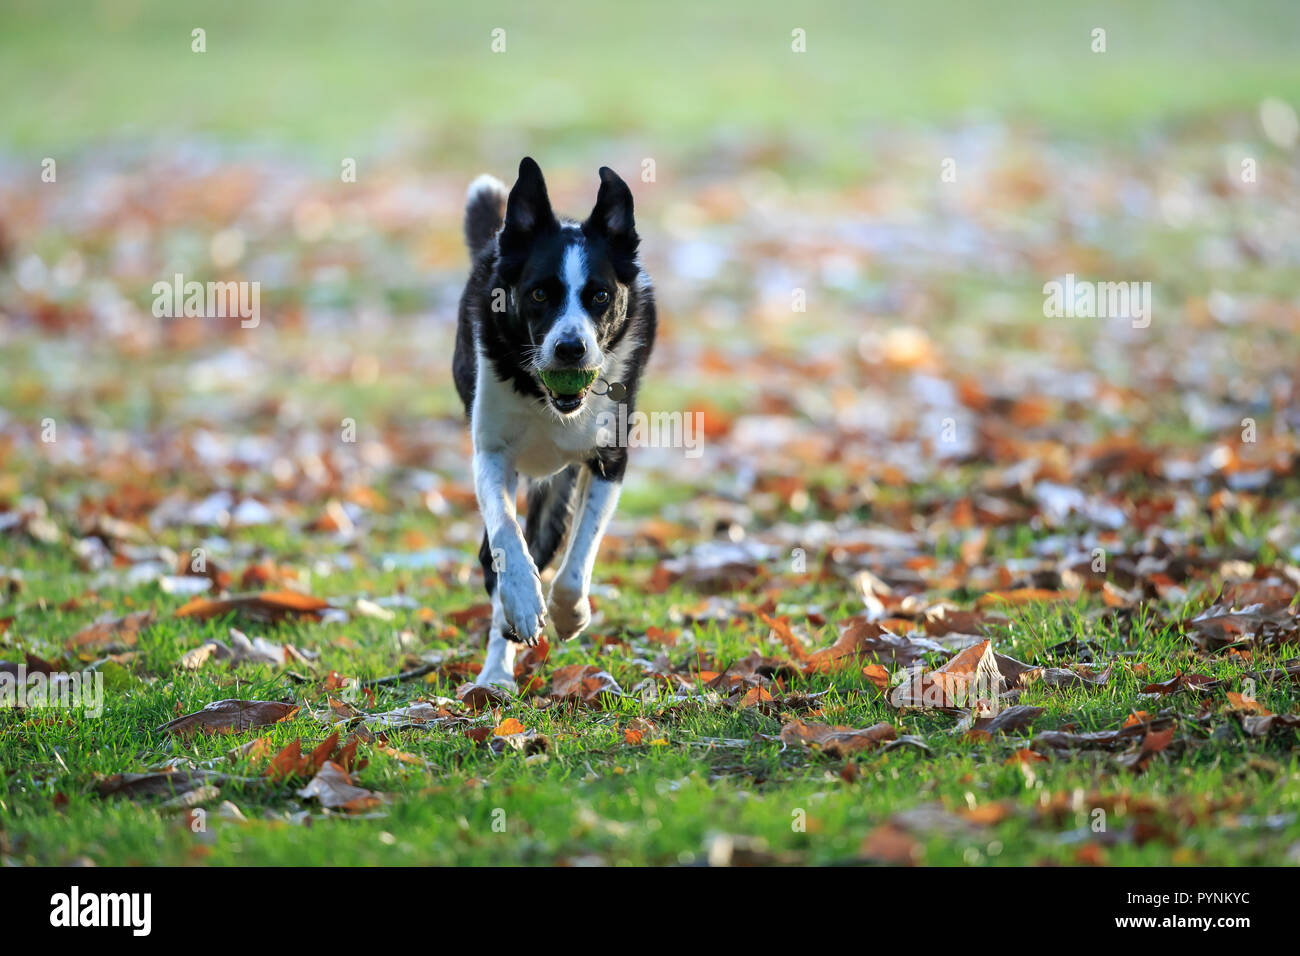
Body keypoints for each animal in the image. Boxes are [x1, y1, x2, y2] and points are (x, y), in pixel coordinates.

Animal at [457, 157, 660, 686]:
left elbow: (579, 557)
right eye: (540, 293)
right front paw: (525, 602)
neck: (548, 400)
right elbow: (506, 534)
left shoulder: (610, 459)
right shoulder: (491, 452)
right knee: (495, 557)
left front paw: (570, 614)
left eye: (601, 295)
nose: (571, 348)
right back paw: (495, 675)